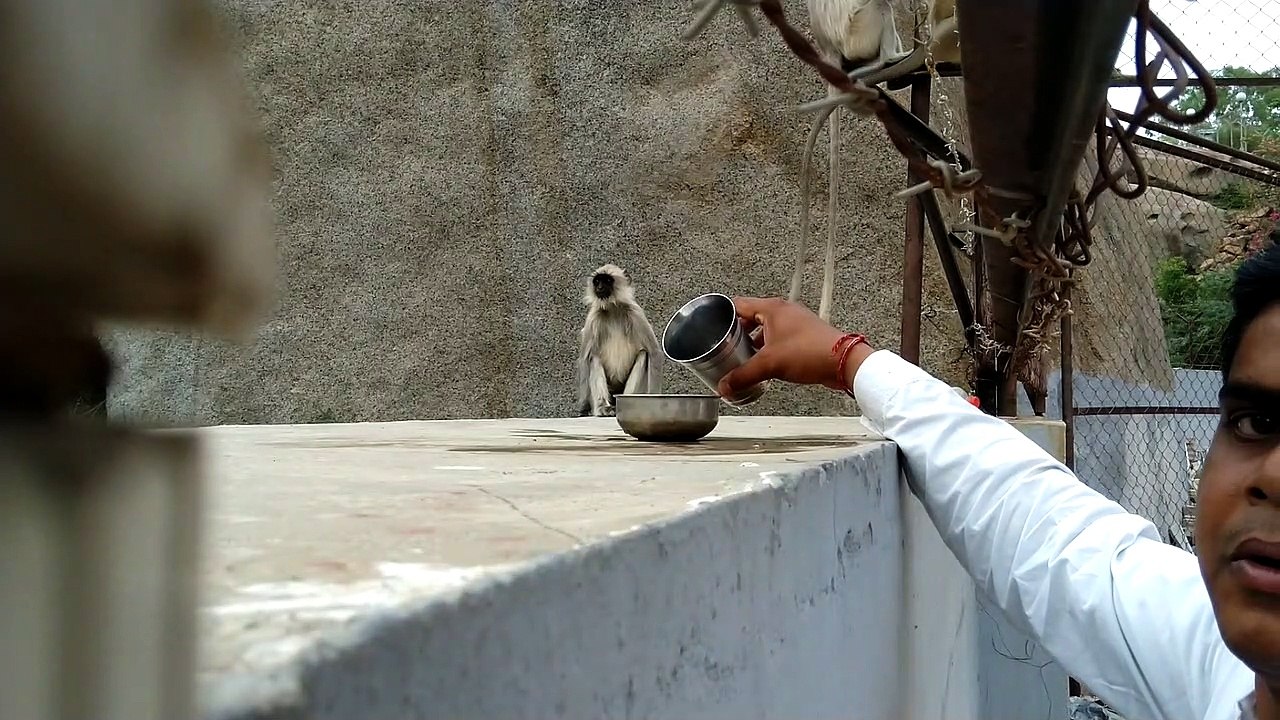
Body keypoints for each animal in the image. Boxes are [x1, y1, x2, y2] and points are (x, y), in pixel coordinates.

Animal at [575, 264, 664, 417]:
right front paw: (583, 407)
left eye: (607, 280)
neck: (612, 309)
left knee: (644, 354)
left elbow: (654, 352)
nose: (599, 287)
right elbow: (584, 358)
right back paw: (603, 408)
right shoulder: (593, 317)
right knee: (593, 358)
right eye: (597, 281)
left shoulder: (635, 312)